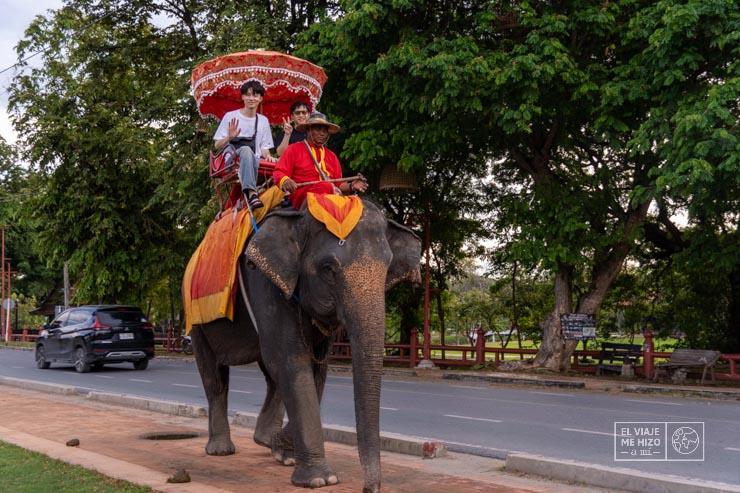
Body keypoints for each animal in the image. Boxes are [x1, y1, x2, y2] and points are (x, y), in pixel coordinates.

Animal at [189, 198, 422, 493]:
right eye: (328, 269)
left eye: (388, 266)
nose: (370, 489)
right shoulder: (264, 281)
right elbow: (292, 360)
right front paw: (319, 480)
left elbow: (314, 367)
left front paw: (284, 452)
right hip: (196, 318)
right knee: (214, 374)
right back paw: (221, 450)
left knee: (270, 372)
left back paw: (265, 440)